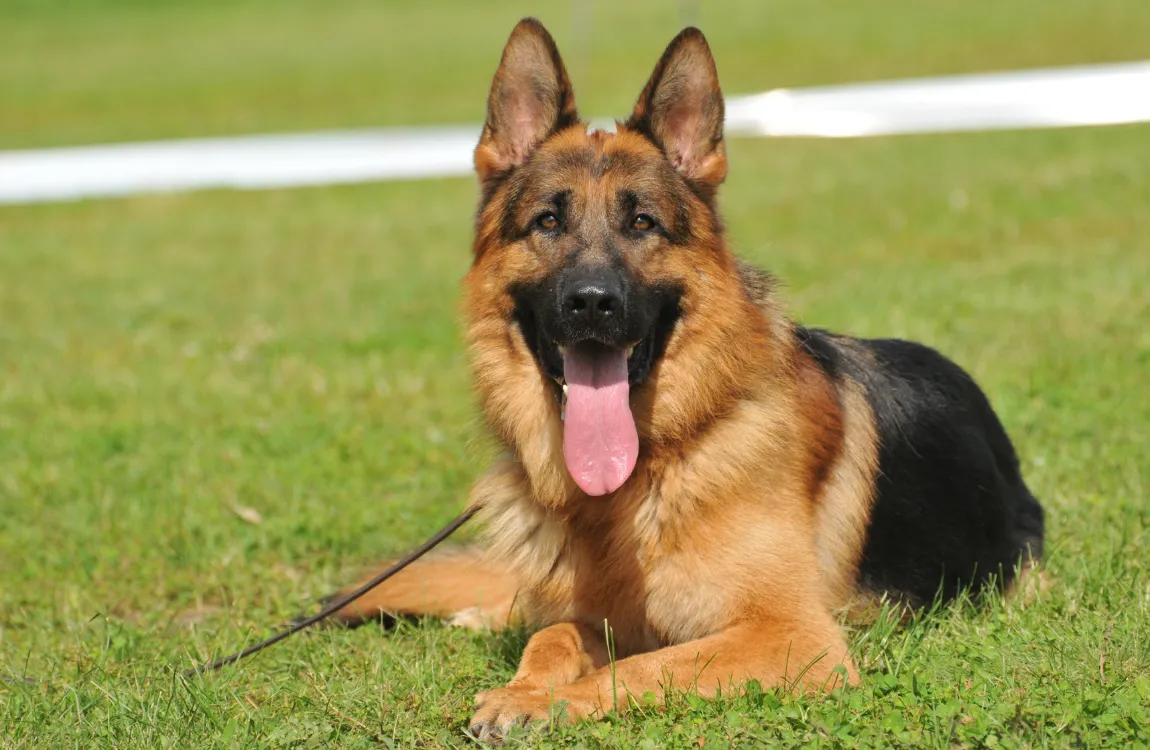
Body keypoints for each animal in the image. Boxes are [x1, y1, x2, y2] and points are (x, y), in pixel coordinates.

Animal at [333, 18, 1044, 745]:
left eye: (642, 222)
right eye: (548, 221)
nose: (593, 303)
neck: (651, 469)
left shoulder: (793, 637)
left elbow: (644, 667)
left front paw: (541, 702)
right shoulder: (597, 616)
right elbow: (553, 636)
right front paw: (522, 686)